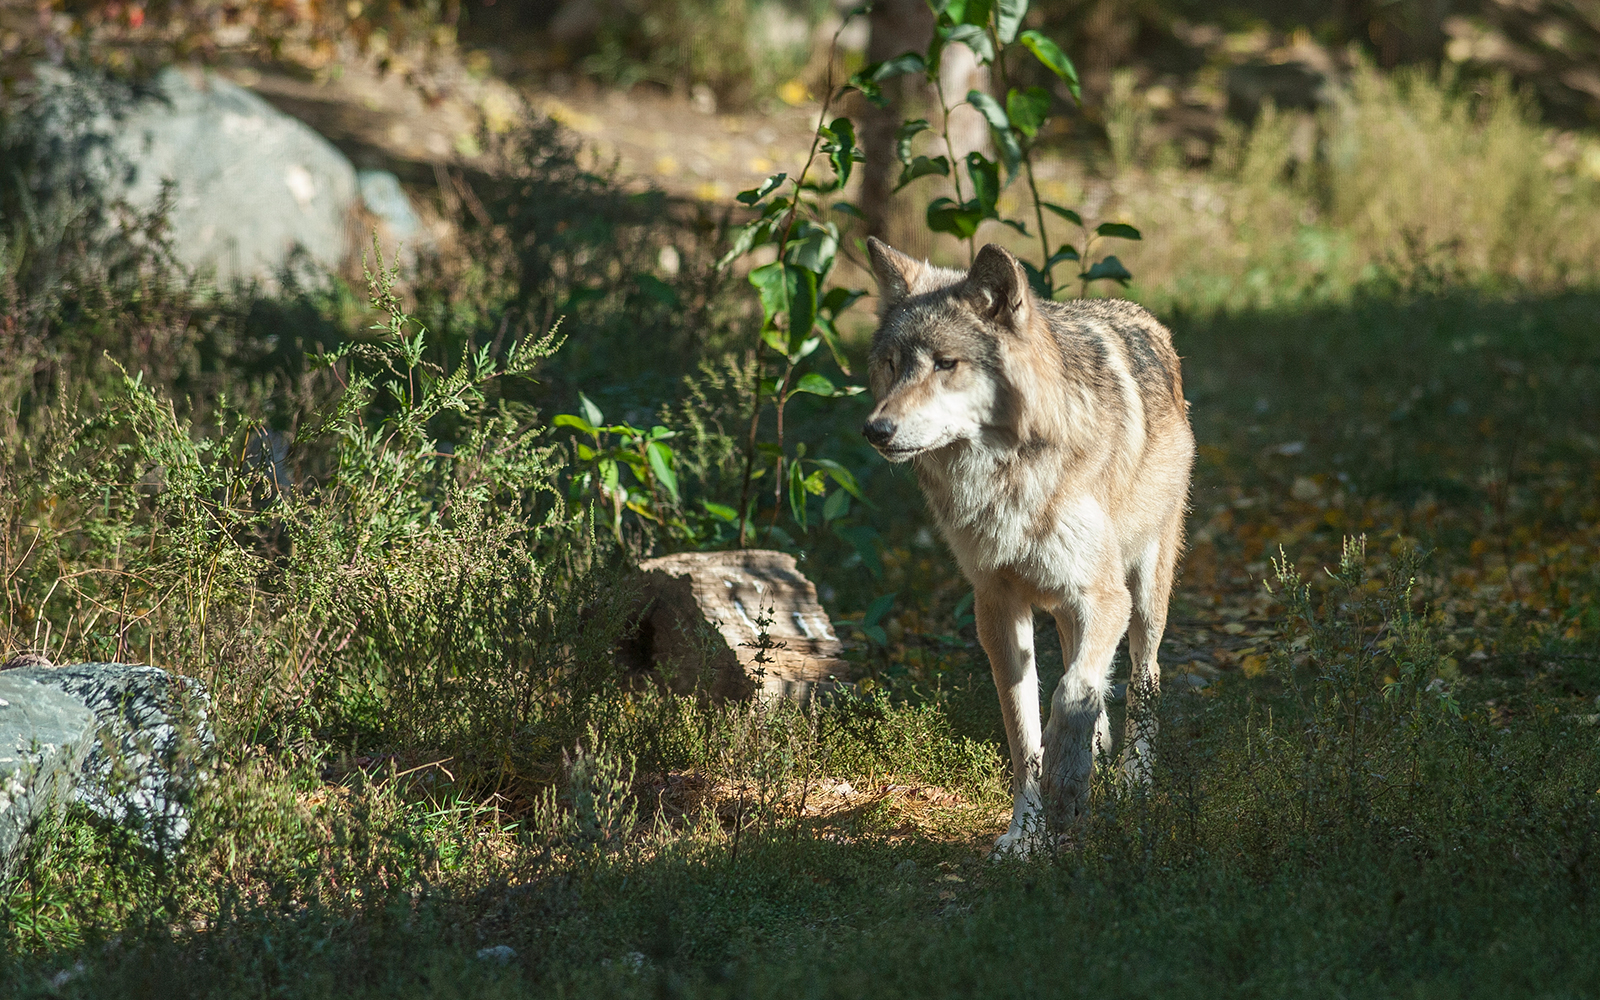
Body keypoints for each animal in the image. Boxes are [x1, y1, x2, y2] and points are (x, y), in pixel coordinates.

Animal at [862, 238, 1194, 854]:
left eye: (946, 363)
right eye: (893, 364)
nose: (876, 430)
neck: (1006, 479)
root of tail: (1141, 315)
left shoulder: (1105, 597)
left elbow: (1069, 694)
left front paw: (1066, 789)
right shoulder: (996, 606)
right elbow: (1024, 734)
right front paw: (1025, 835)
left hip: (1143, 593)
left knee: (1144, 679)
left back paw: (1133, 782)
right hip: (1068, 603)